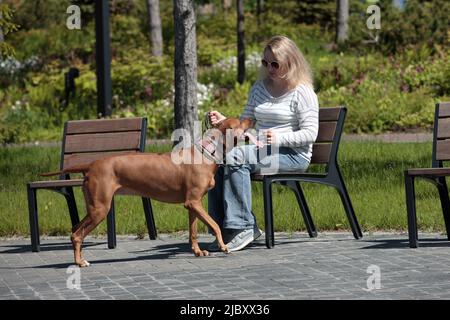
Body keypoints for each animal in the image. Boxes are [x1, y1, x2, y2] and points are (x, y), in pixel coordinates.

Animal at [40, 117, 251, 268]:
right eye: (240, 121)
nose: (251, 119)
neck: (206, 153)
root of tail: (91, 164)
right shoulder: (193, 203)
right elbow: (215, 225)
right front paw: (223, 246)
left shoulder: (193, 204)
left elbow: (193, 232)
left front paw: (198, 252)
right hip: (100, 208)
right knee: (77, 235)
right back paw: (79, 262)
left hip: (95, 207)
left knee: (75, 230)